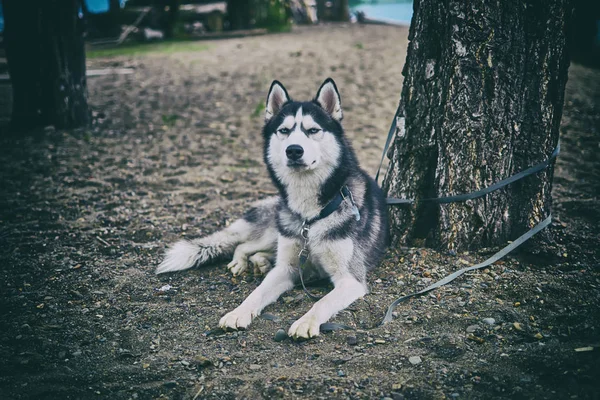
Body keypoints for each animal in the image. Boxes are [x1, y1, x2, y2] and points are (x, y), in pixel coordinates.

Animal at [156, 78, 390, 338]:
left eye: (313, 130)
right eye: (284, 131)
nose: (294, 150)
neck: (310, 216)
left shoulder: (350, 279)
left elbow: (322, 302)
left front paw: (306, 322)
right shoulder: (286, 269)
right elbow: (256, 293)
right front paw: (238, 313)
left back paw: (260, 262)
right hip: (274, 230)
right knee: (244, 244)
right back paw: (244, 262)